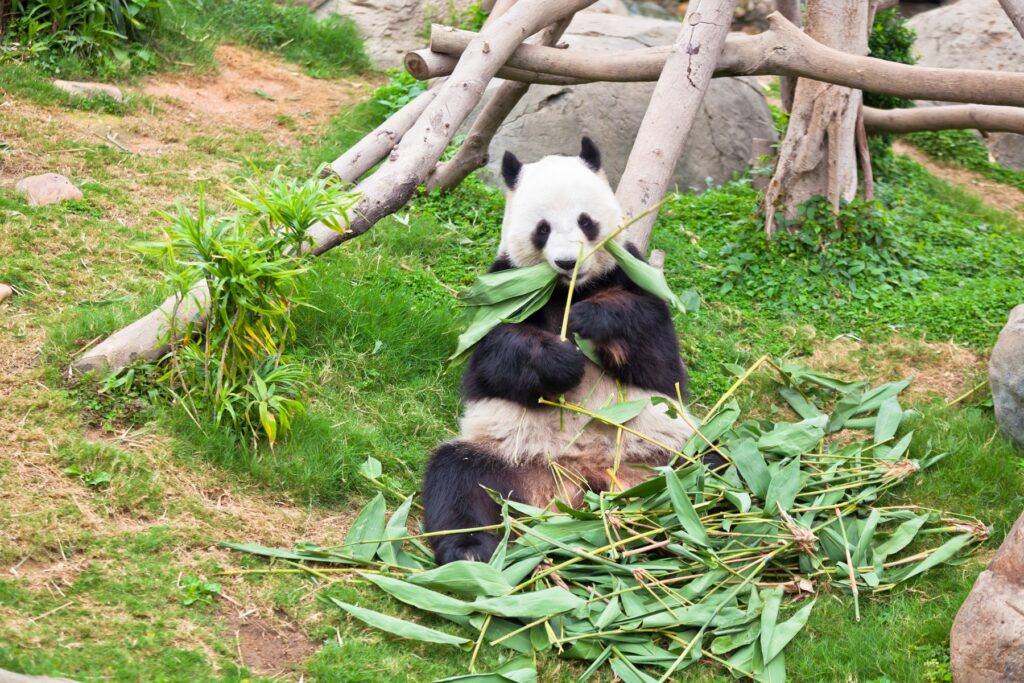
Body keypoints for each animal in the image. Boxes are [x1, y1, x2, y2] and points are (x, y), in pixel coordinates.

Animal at [422, 137, 697, 565]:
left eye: (585, 221)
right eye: (543, 229)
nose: (568, 261)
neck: (568, 289)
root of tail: (582, 479)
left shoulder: (631, 273)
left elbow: (655, 351)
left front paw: (591, 319)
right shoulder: (505, 287)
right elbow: (494, 358)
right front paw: (560, 360)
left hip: (663, 451)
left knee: (716, 466)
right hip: (506, 456)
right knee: (457, 478)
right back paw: (468, 551)